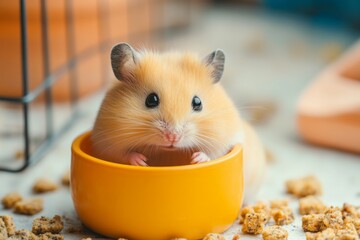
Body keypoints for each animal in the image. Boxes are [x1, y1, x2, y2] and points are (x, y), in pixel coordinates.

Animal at [92, 43, 268, 202]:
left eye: (197, 102)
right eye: (151, 100)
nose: (173, 137)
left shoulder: (226, 138)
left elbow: (214, 152)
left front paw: (197, 159)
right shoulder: (104, 142)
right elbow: (121, 154)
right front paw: (142, 161)